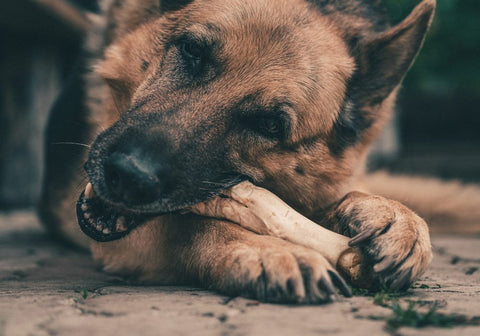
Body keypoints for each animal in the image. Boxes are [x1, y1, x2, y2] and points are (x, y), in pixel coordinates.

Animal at [38, 0, 438, 304]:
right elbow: (188, 224)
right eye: (192, 51)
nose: (127, 175)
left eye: (270, 125)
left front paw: (395, 217)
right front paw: (268, 249)